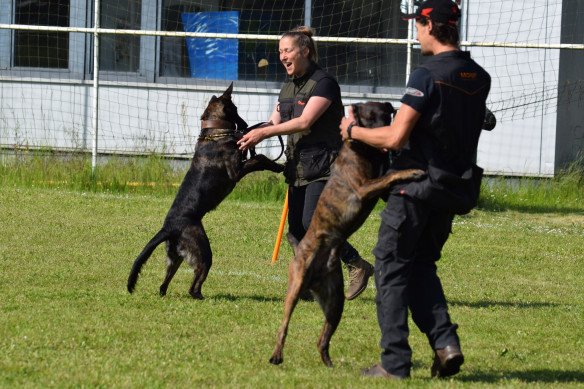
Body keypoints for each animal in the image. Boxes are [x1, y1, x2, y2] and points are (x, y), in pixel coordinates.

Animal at [127, 84, 282, 298]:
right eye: (235, 109)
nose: (245, 125)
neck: (214, 132)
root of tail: (169, 228)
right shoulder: (236, 171)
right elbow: (259, 159)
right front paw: (278, 166)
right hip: (202, 250)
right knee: (195, 282)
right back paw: (199, 296)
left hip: (176, 257)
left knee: (164, 283)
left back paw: (167, 293)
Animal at [270, 101, 424, 366]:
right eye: (368, 117)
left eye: (385, 116)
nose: (382, 134)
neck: (365, 150)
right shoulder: (363, 188)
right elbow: (390, 175)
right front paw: (413, 172)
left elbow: (389, 177)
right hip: (296, 288)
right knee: (284, 326)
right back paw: (277, 355)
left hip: (335, 302)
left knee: (322, 339)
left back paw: (329, 365)